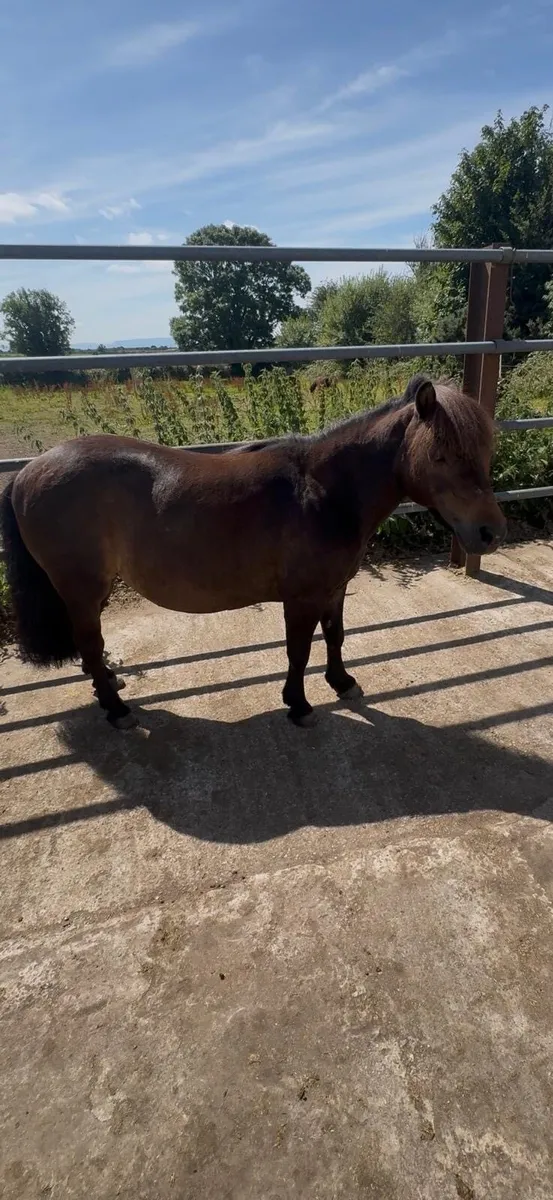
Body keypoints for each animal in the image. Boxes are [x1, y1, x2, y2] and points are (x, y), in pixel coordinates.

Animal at [1, 374, 506, 731]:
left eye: (483, 453)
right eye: (440, 455)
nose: (489, 532)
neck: (325, 493)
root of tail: (27, 472)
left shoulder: (334, 589)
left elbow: (335, 638)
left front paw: (342, 683)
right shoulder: (301, 598)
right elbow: (298, 651)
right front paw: (299, 705)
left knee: (91, 648)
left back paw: (109, 685)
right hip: (83, 588)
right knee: (89, 643)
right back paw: (117, 710)